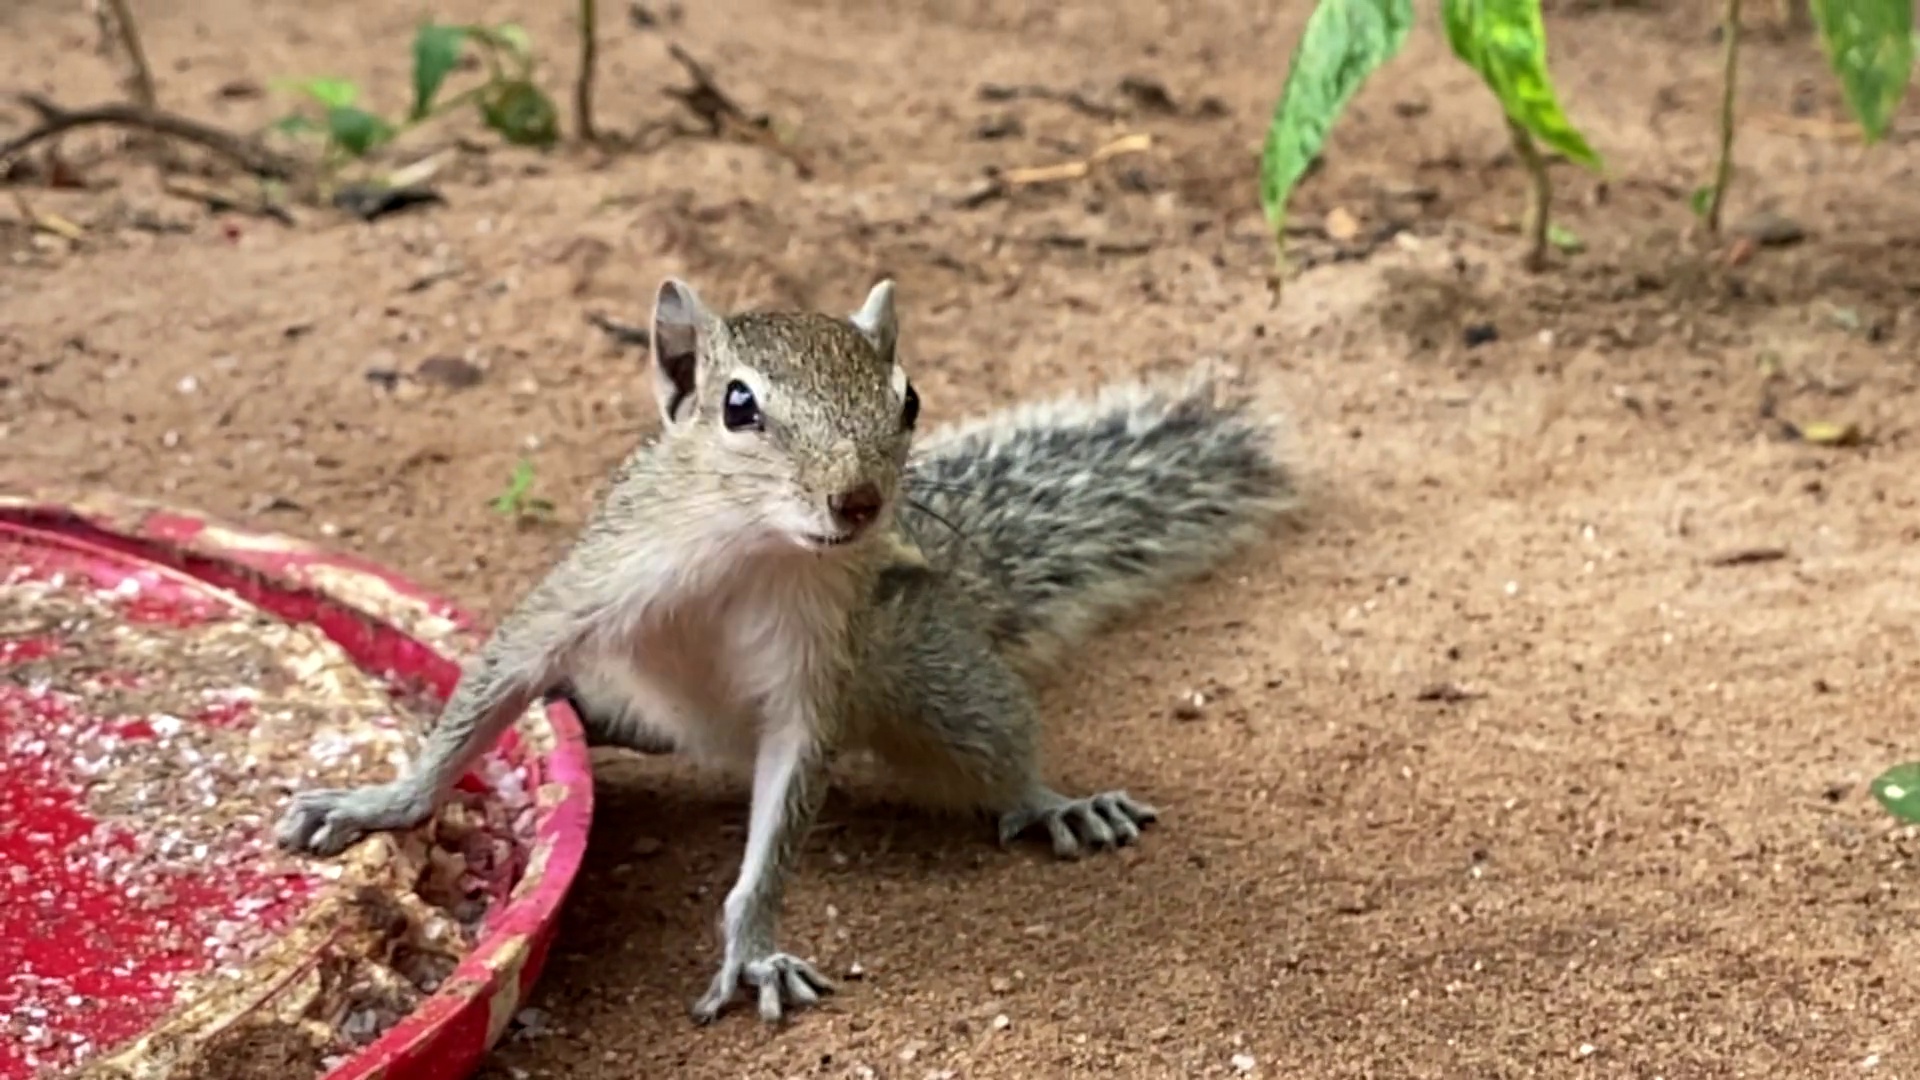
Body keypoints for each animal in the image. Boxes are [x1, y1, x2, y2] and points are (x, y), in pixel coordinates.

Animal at [275, 276, 1294, 1024]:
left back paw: (1055, 804)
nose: (860, 503)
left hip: (936, 683)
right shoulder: (580, 597)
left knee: (998, 753)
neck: (751, 544)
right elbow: (489, 691)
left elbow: (779, 824)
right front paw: (381, 804)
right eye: (737, 405)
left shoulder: (812, 683)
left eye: (910, 400)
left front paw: (753, 948)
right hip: (630, 690)